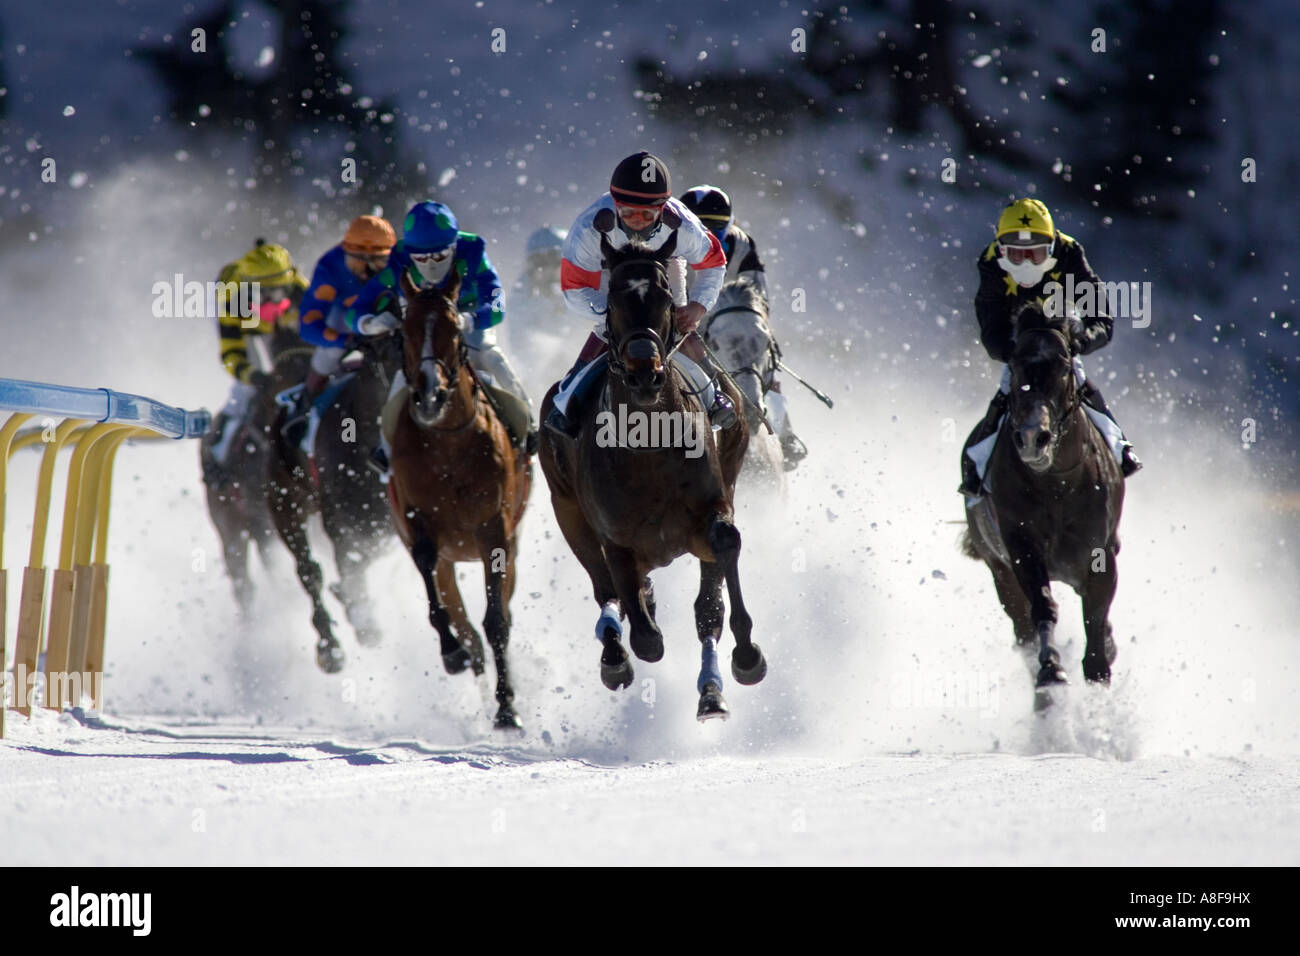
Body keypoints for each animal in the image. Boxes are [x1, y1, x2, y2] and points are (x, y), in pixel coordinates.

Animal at [266, 326, 403, 672]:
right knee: (308, 571)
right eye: (383, 354)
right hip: (284, 501)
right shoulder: (341, 518)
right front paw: (356, 610)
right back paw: (330, 647)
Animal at [386, 269, 532, 731]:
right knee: (459, 613)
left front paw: (507, 709)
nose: (430, 395)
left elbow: (497, 620)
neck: (448, 444)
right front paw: (453, 653)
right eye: (405, 330)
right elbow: (435, 589)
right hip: (448, 555)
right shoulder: (417, 520)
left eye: (454, 330)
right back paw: (467, 654)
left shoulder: (495, 530)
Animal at [538, 229, 766, 721]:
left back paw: (711, 691)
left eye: (664, 295)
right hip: (566, 510)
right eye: (613, 297)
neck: (648, 445)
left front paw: (746, 655)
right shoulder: (614, 536)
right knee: (606, 591)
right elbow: (646, 636)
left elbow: (719, 572)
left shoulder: (710, 509)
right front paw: (626, 645)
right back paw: (613, 654)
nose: (645, 372)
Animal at [962, 301, 1125, 706]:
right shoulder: (1021, 549)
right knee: (1023, 628)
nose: (1034, 437)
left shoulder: (1099, 556)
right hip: (998, 568)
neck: (1058, 485)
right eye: (1016, 364)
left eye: (1064, 366)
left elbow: (1096, 624)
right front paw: (1052, 672)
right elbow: (1042, 607)